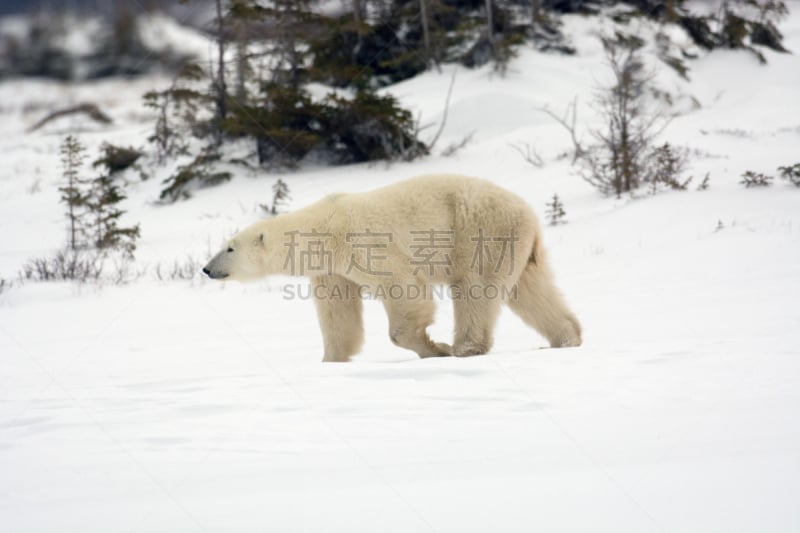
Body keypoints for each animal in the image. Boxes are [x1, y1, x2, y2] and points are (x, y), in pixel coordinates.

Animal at [202, 175, 580, 362]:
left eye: (229, 247)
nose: (206, 269)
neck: (325, 226)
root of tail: (528, 212)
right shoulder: (333, 269)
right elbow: (338, 314)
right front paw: (331, 360)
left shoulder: (365, 243)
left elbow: (405, 291)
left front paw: (435, 349)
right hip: (513, 244)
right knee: (530, 290)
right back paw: (566, 337)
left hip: (479, 230)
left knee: (476, 289)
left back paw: (465, 348)